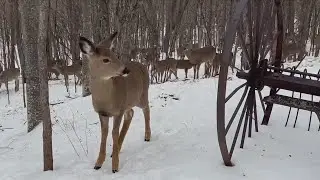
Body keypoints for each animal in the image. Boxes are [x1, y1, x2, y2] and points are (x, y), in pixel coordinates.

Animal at [79, 32, 151, 173]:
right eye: (105, 59)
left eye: (116, 55)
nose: (125, 70)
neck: (106, 99)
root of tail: (143, 66)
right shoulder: (102, 113)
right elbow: (104, 133)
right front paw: (98, 163)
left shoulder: (118, 110)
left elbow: (113, 132)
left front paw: (115, 167)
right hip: (128, 102)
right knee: (131, 113)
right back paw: (116, 148)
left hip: (142, 95)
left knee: (146, 109)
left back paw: (147, 136)